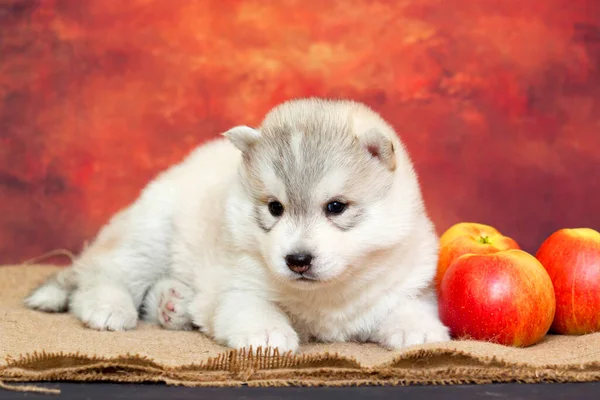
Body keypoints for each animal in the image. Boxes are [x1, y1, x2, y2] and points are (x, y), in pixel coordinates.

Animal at [27, 98, 450, 352]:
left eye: (336, 207)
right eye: (275, 208)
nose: (297, 260)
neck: (324, 296)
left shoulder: (409, 278)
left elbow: (411, 304)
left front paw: (417, 329)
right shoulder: (236, 285)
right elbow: (252, 306)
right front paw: (267, 332)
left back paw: (173, 304)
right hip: (149, 235)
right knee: (103, 275)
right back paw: (110, 307)